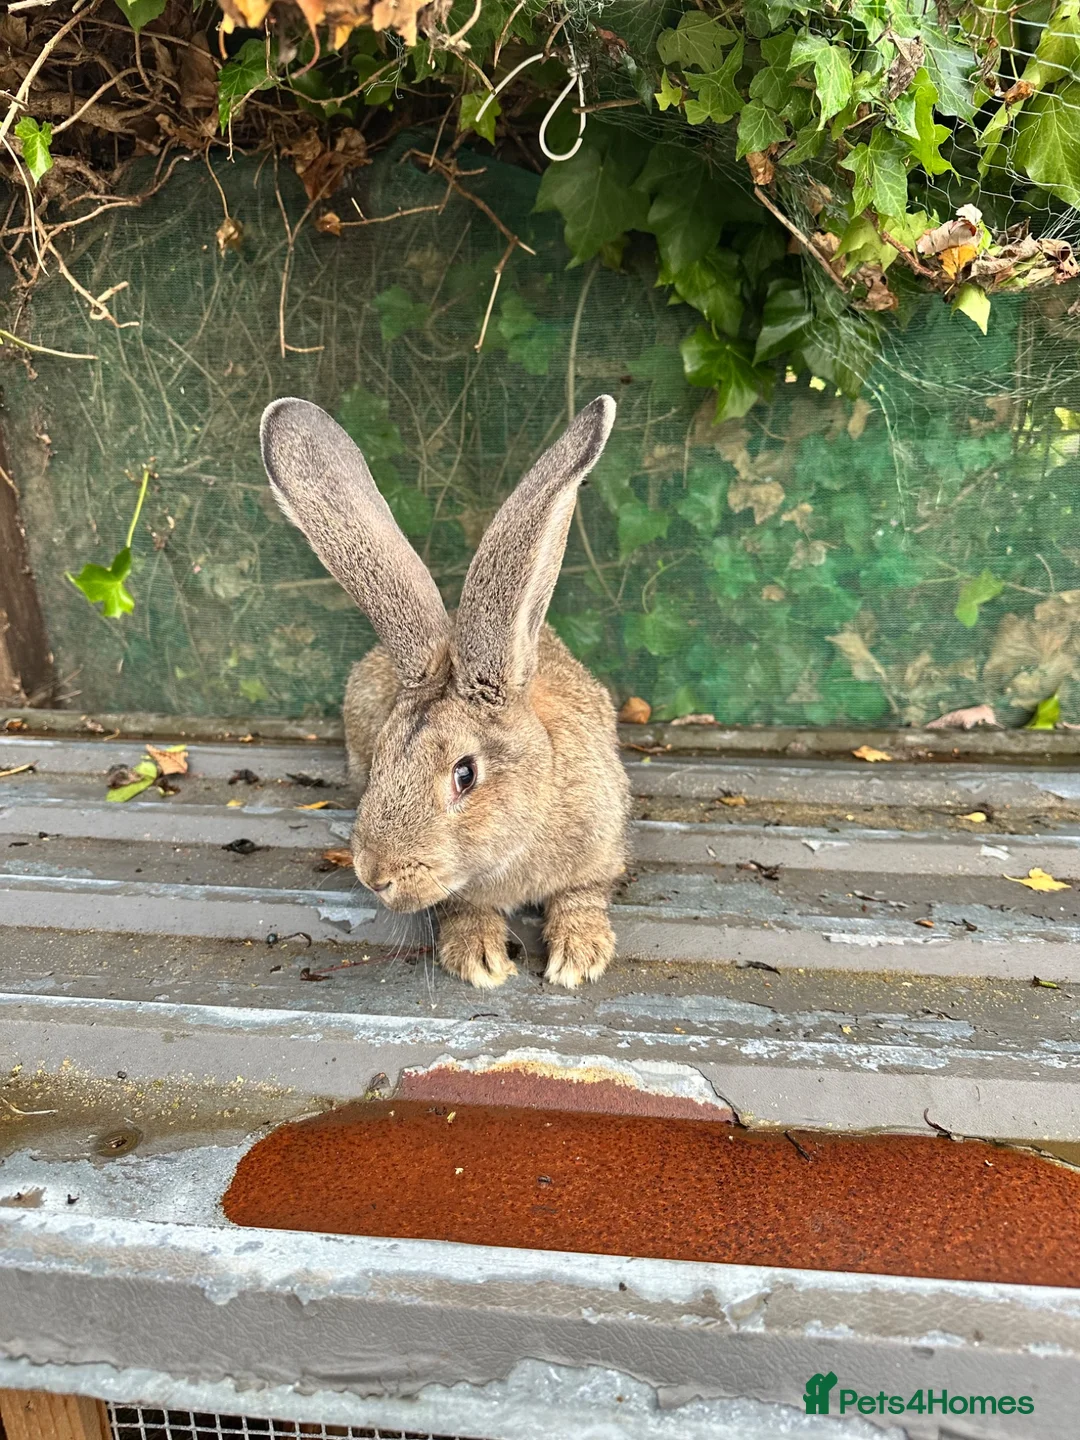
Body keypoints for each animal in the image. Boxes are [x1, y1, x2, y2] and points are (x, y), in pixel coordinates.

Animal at [260, 394, 630, 990]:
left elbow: (583, 893)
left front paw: (579, 955)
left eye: (465, 775)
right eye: (382, 757)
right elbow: (462, 906)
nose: (375, 875)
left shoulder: (600, 848)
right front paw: (479, 956)